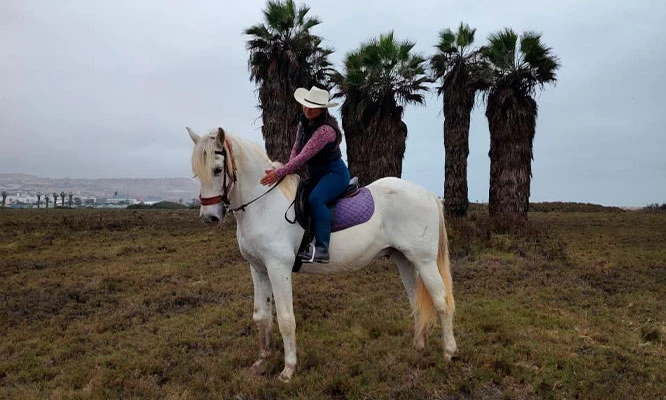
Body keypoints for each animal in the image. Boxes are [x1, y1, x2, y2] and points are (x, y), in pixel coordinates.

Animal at [187, 126, 457, 382]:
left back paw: (449, 352)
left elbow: (286, 319)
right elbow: (261, 315)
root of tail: (428, 194)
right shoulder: (258, 269)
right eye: (197, 173)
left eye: (217, 169)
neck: (263, 204)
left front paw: (288, 369)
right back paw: (418, 347)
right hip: (404, 259)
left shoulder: (278, 268)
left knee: (441, 302)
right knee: (416, 301)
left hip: (424, 261)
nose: (209, 217)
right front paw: (262, 360)